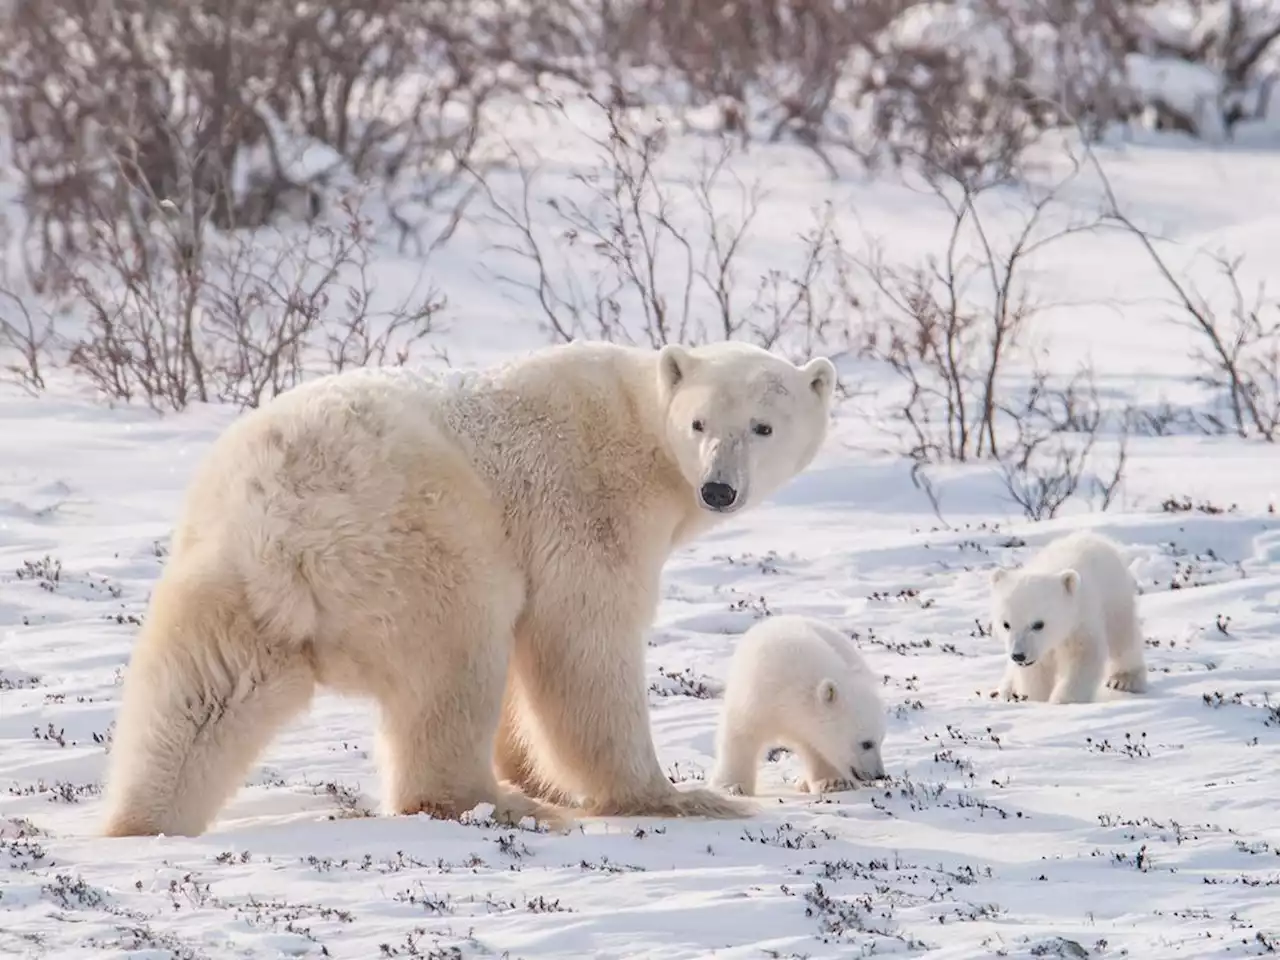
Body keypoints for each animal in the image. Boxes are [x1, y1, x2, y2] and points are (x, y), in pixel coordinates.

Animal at [102, 343, 839, 839]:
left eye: (763, 427)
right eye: (699, 424)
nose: (718, 489)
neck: (638, 423)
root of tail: (282, 523)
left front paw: (533, 769)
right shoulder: (585, 503)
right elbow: (582, 639)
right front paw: (666, 795)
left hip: (223, 575)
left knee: (198, 698)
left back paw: (139, 820)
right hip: (426, 536)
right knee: (457, 659)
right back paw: (505, 805)